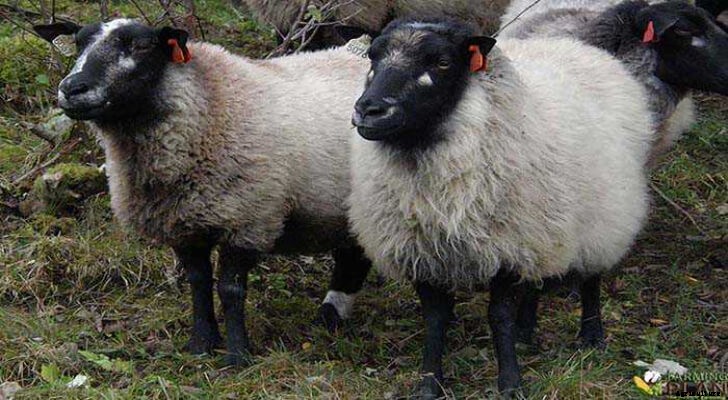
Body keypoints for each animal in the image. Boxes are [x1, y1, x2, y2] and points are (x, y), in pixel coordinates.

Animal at [33, 19, 374, 366]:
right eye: (78, 43)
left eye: (141, 46)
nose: (72, 88)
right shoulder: (183, 224)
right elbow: (198, 283)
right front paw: (201, 344)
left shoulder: (248, 220)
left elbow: (230, 290)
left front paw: (237, 355)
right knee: (353, 256)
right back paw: (330, 317)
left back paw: (330, 317)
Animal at [349, 19, 653, 397]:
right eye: (372, 56)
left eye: (442, 62)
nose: (369, 110)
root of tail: (578, 46)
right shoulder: (421, 252)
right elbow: (435, 319)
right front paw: (430, 383)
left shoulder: (507, 245)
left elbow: (498, 316)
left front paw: (510, 383)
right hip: (546, 227)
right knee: (536, 280)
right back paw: (526, 331)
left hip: (603, 216)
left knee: (591, 278)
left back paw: (591, 335)